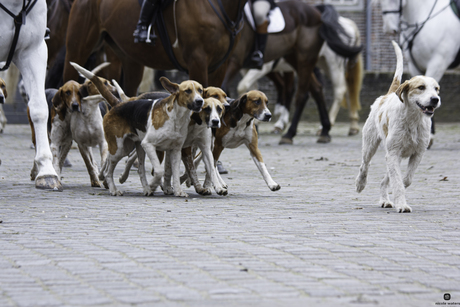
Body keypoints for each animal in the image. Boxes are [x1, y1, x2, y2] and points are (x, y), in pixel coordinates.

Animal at [220, 1, 362, 145]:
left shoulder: (251, 64)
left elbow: (241, 87)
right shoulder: (242, 67)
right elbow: (250, 90)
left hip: (326, 63)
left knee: (332, 91)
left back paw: (293, 132)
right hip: (304, 62)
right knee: (321, 89)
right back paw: (327, 130)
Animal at [358, 41, 440, 214]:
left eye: (436, 89)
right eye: (421, 87)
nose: (435, 99)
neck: (413, 120)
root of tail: (386, 95)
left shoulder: (417, 153)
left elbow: (405, 180)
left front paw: (397, 197)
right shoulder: (393, 153)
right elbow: (397, 182)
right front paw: (402, 204)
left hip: (395, 155)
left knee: (385, 179)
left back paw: (385, 200)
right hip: (370, 145)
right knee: (364, 166)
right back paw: (360, 184)